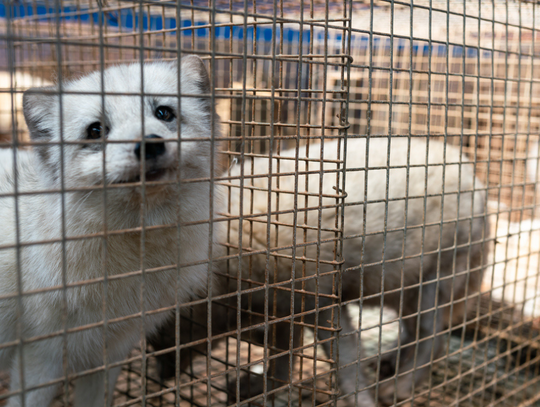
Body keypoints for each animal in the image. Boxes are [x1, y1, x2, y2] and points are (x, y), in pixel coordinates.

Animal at [151, 138, 490, 407]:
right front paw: (259, 387)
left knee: (433, 339)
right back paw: (389, 360)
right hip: (398, 289)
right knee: (411, 332)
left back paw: (399, 386)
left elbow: (344, 366)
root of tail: (476, 180)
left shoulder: (322, 301)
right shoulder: (285, 308)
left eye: (159, 331)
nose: (160, 376)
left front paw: (363, 401)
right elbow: (283, 361)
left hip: (434, 282)